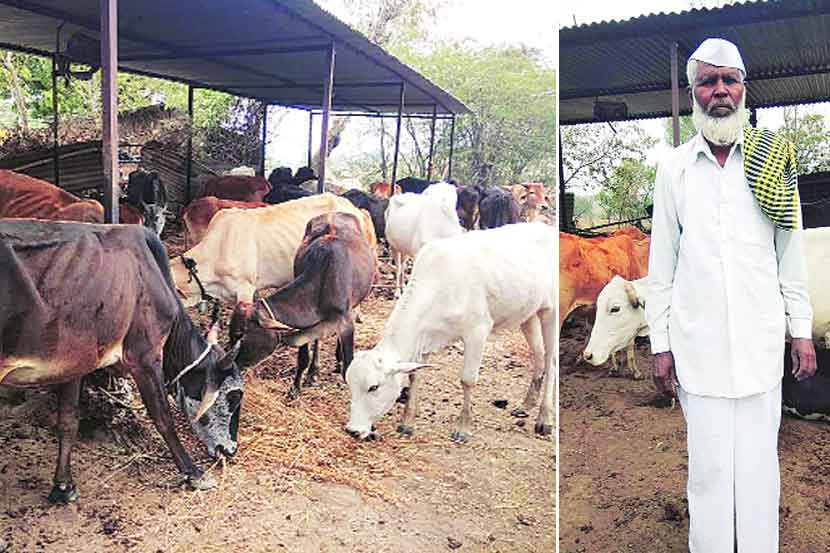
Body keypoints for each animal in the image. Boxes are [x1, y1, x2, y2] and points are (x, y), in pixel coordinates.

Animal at [1, 219, 244, 500]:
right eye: (233, 396)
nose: (230, 450)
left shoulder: (75, 363)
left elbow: (68, 420)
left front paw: (63, 486)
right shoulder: (144, 357)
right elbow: (163, 417)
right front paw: (194, 473)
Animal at [344, 222, 560, 442]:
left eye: (373, 387)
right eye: (350, 384)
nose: (352, 430)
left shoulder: (477, 331)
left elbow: (467, 379)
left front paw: (463, 428)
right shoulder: (425, 340)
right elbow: (415, 376)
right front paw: (407, 423)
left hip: (551, 311)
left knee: (551, 361)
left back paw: (544, 419)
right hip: (528, 314)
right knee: (539, 354)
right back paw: (526, 405)